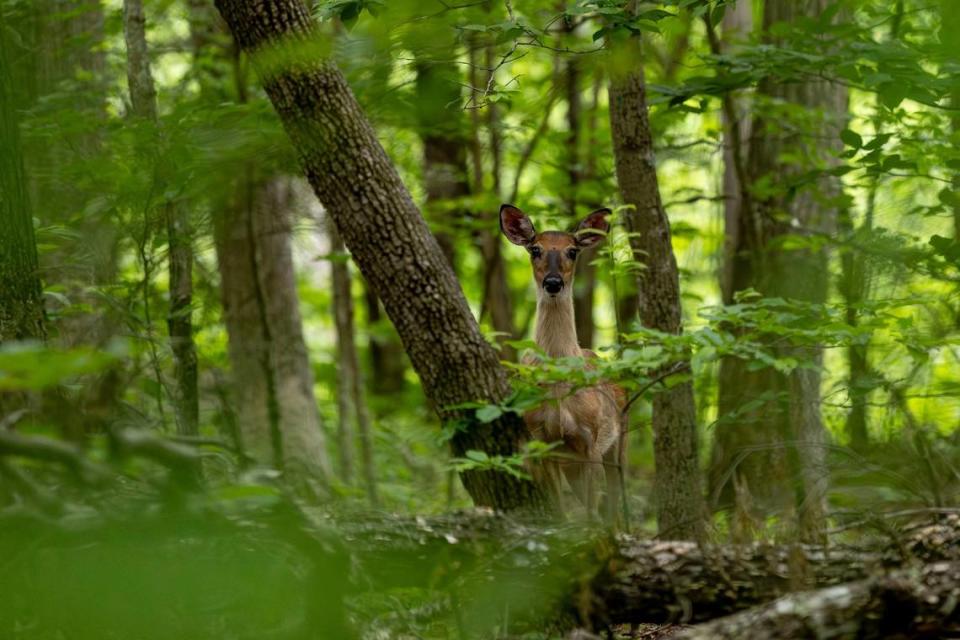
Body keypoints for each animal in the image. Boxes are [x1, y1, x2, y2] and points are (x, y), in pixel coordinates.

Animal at [498, 202, 628, 524]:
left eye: (572, 250)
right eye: (535, 249)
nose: (554, 282)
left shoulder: (590, 439)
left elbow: (594, 511)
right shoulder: (541, 440)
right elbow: (561, 511)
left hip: (619, 441)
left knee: (616, 502)